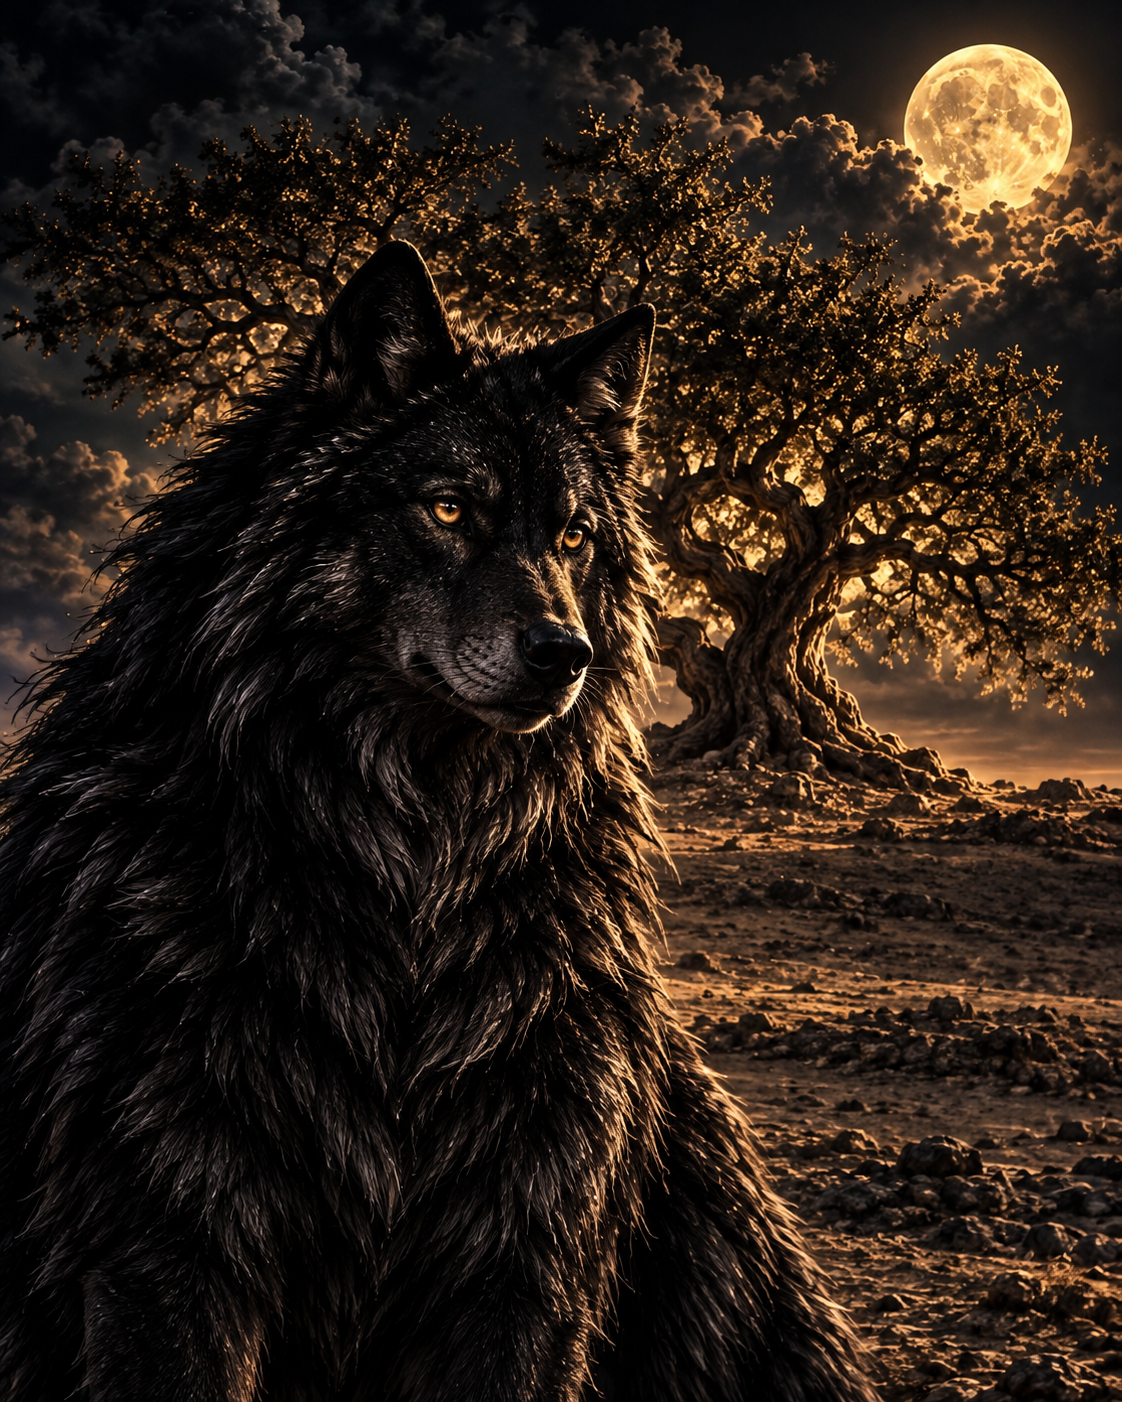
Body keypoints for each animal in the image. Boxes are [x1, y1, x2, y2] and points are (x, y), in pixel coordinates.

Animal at [0, 240, 877, 1402]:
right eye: (452, 509)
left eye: (573, 535)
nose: (564, 654)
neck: (409, 867)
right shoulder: (167, 1242)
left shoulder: (523, 1255)